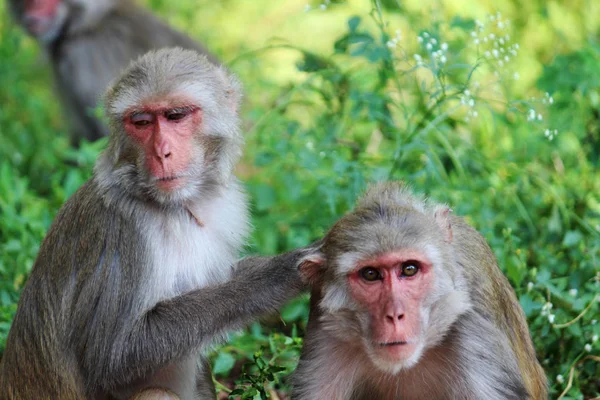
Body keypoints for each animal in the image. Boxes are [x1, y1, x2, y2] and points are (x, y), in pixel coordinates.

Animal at [0, 47, 314, 400]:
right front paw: (284, 272)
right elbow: (113, 355)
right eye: (141, 122)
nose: (162, 152)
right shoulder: (122, 231)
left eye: (176, 116)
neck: (172, 207)